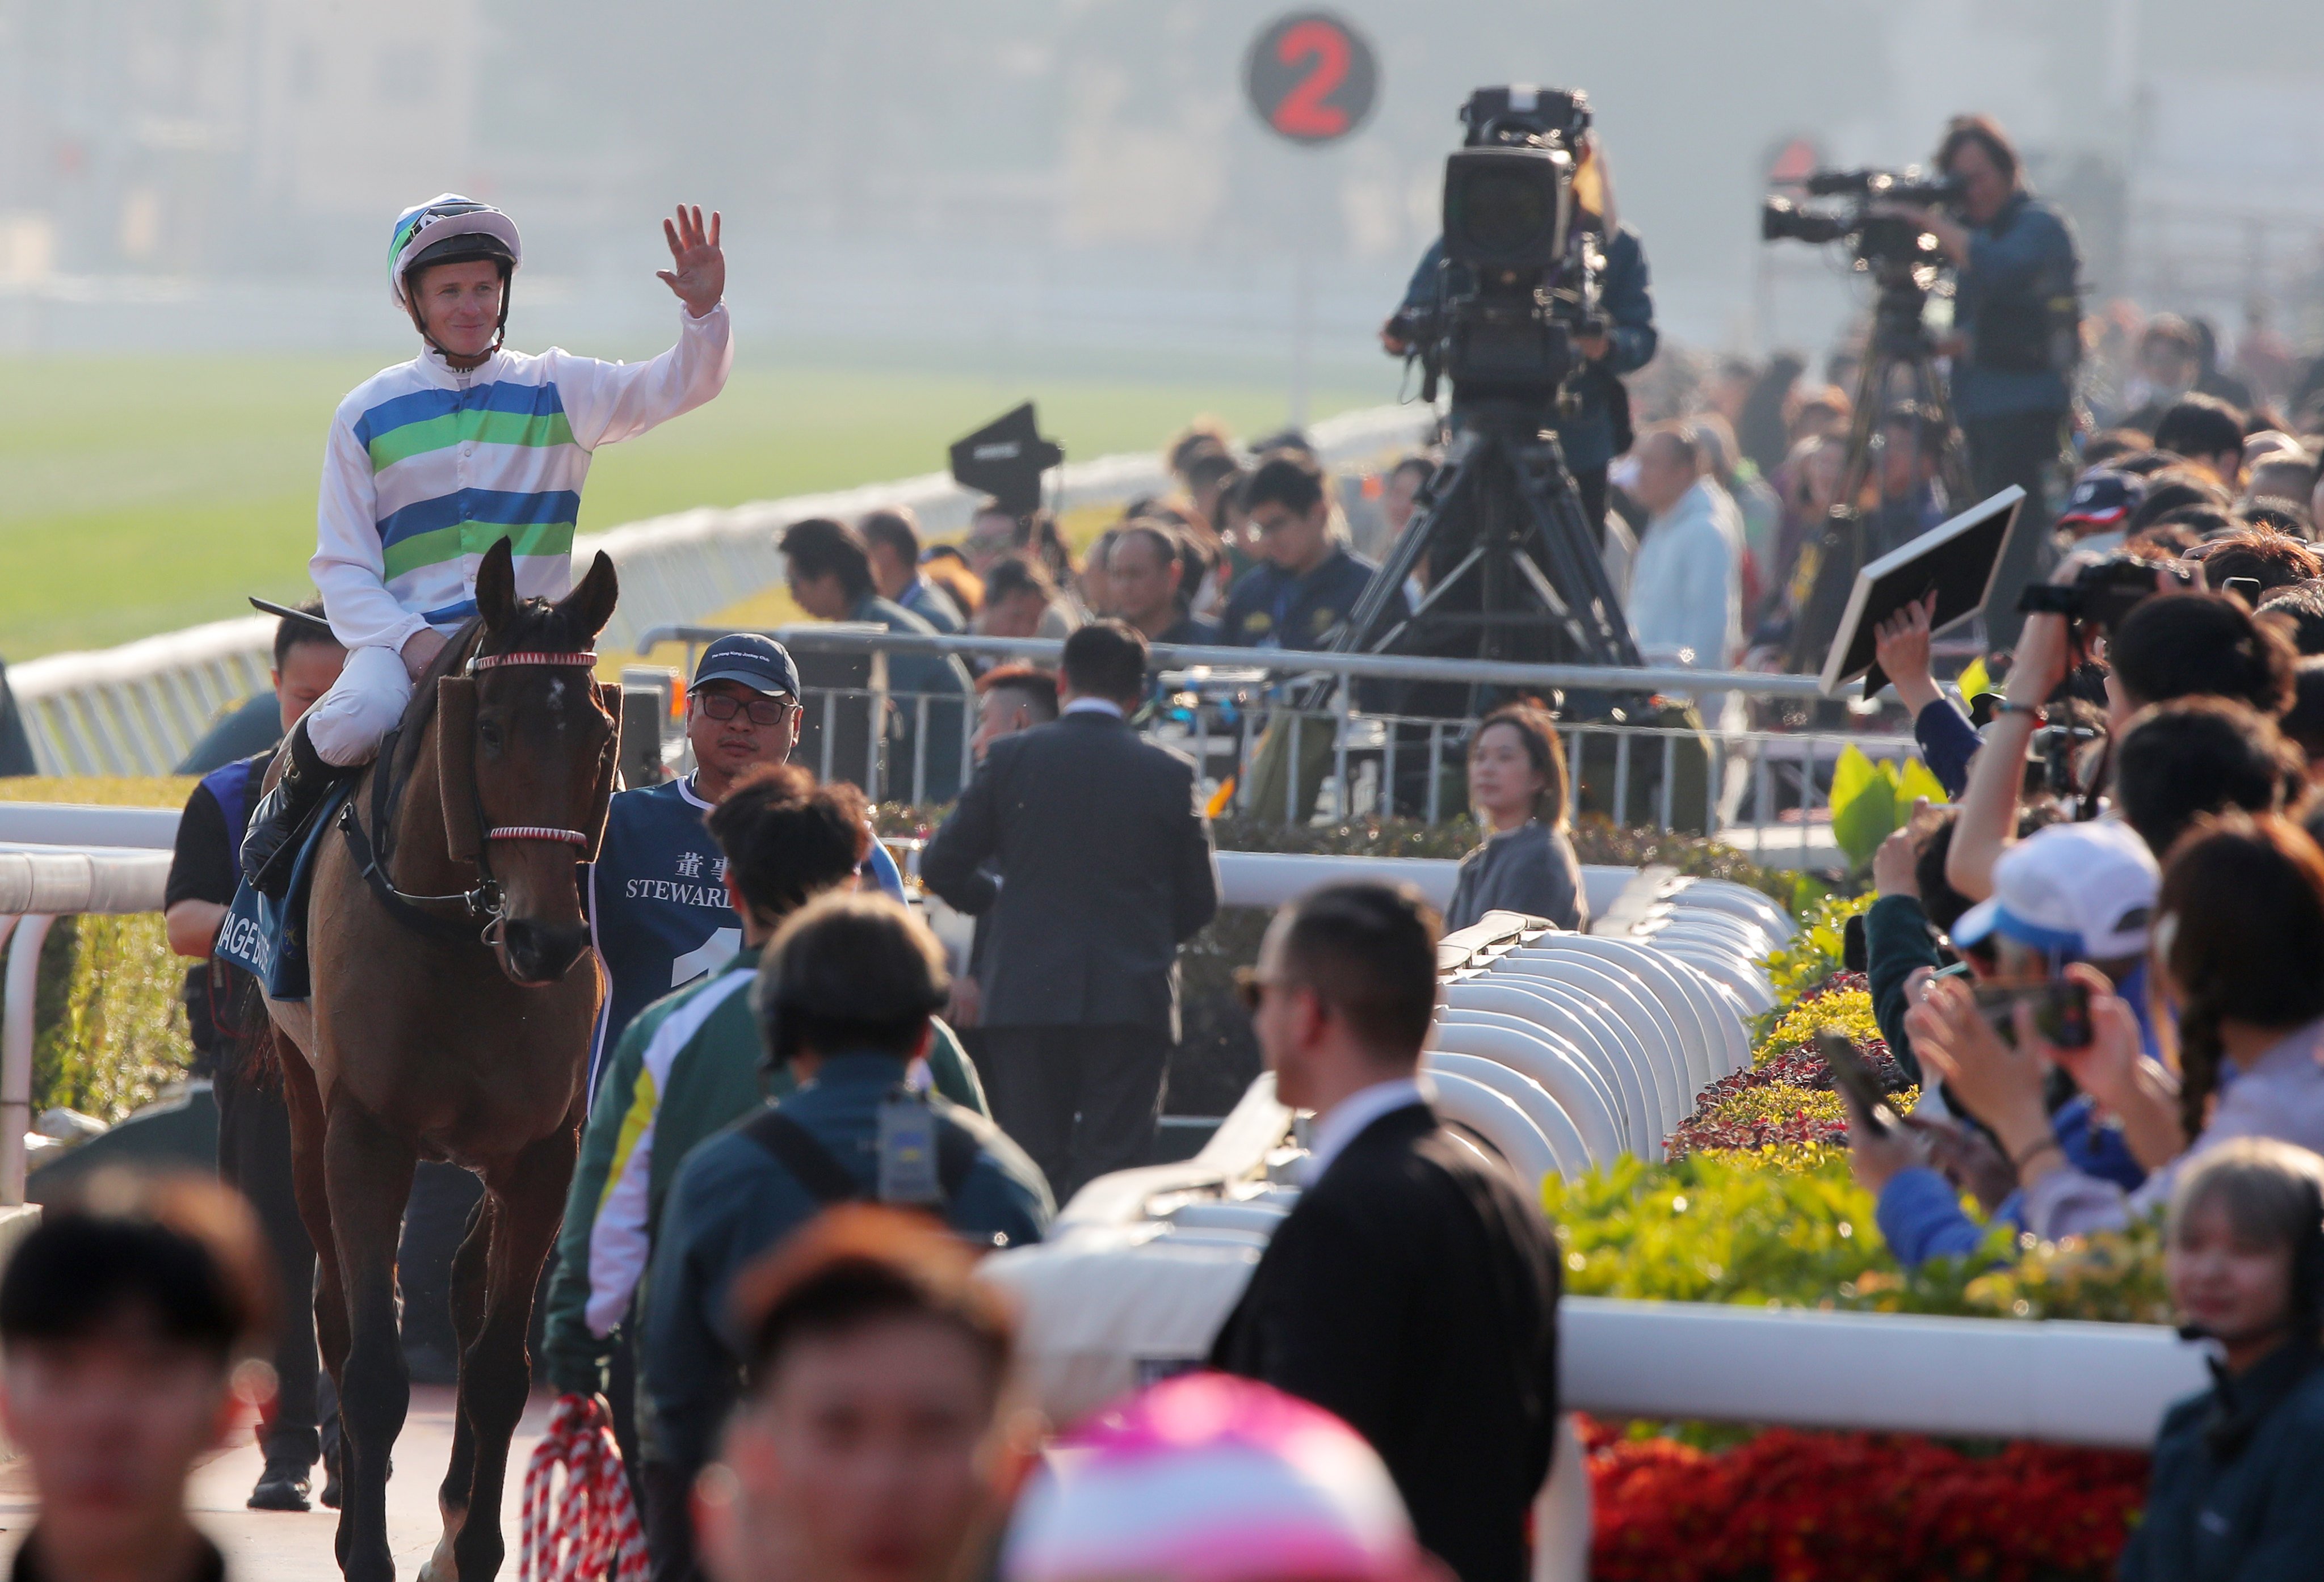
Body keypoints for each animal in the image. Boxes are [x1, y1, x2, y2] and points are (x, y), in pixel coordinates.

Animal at [263, 536, 623, 1570]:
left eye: (597, 737)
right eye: (490, 729)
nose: (547, 940)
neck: (462, 934)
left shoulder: (545, 1149)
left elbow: (500, 1367)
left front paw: (472, 1546)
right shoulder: (367, 1136)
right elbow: (372, 1364)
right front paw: (368, 1553)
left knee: (464, 1290)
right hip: (305, 1110)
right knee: (340, 1315)